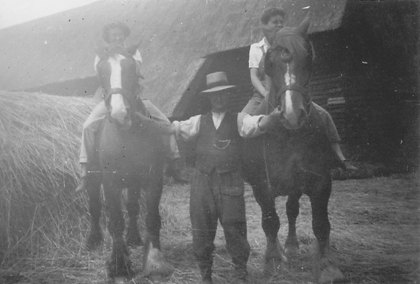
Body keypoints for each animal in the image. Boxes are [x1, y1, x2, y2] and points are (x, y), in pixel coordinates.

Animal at [86, 49, 173, 282]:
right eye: (102, 73)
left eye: (132, 71)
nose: (119, 114)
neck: (128, 136)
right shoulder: (110, 182)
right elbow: (116, 220)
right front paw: (119, 264)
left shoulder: (154, 178)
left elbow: (151, 217)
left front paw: (155, 261)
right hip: (93, 177)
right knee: (95, 206)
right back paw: (93, 239)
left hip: (134, 182)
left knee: (133, 208)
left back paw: (133, 237)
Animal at [241, 16, 346, 282]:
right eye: (269, 63)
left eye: (308, 56)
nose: (291, 115)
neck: (288, 135)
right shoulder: (262, 186)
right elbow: (270, 222)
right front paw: (273, 261)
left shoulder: (320, 182)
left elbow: (320, 224)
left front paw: (328, 266)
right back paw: (278, 249)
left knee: (291, 210)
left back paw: (290, 245)